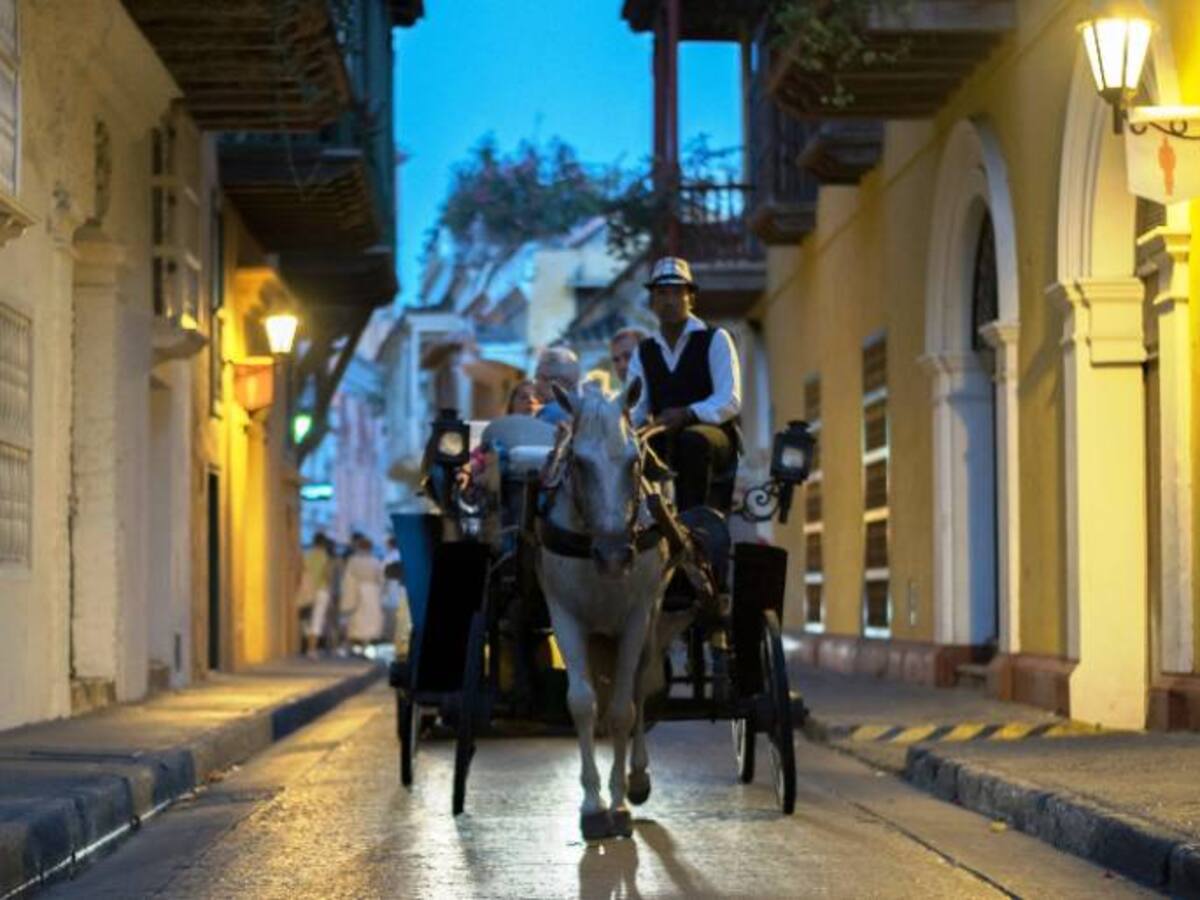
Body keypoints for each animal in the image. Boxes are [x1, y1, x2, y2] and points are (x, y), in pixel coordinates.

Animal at [538, 379, 670, 840]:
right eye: (578, 461)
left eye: (633, 460)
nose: (614, 556)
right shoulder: (565, 617)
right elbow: (582, 702)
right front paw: (593, 806)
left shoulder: (635, 618)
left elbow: (622, 709)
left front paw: (618, 802)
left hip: (649, 621)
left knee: (640, 687)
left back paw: (638, 776)